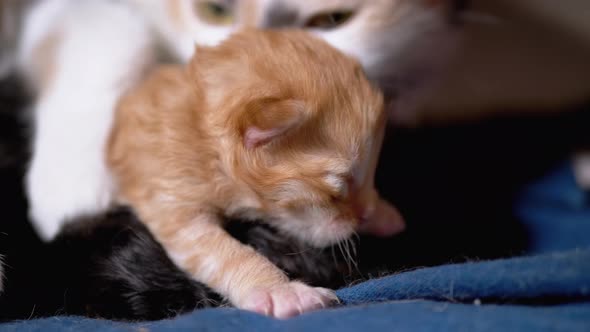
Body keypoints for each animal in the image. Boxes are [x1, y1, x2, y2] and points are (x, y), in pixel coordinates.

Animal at [107, 29, 408, 318]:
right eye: (337, 191)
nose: (365, 214)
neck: (204, 136)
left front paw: (381, 214)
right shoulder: (172, 197)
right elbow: (227, 254)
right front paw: (283, 293)